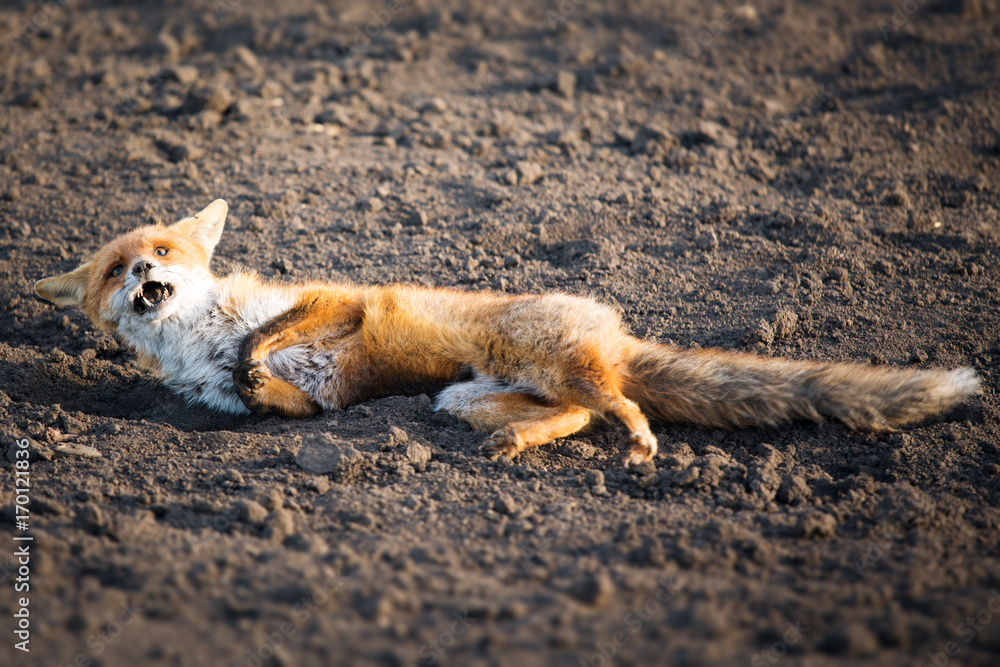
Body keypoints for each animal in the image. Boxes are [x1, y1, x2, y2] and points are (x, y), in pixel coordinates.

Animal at [34, 200, 979, 467]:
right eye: (115, 271)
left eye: (163, 252)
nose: (146, 277)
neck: (198, 336)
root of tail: (613, 327)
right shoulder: (316, 401)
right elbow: (268, 396)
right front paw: (248, 380)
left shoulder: (336, 300)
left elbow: (268, 337)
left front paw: (249, 356)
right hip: (463, 397)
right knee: (579, 414)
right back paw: (523, 443)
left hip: (540, 358)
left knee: (617, 403)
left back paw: (641, 441)